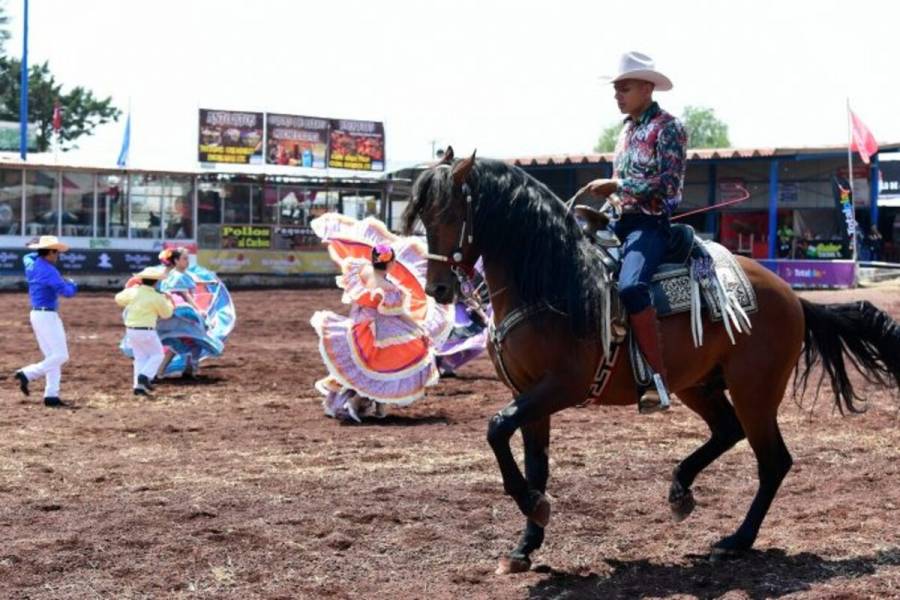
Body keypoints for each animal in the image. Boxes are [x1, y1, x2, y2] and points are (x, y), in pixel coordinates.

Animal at [406, 149, 900, 572]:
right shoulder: (526, 392)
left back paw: (736, 540)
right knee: (728, 431)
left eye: (451, 214)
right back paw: (681, 491)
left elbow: (496, 429)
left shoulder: (560, 386)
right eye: (424, 216)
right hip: (696, 384)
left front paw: (534, 508)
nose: (438, 289)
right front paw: (526, 543)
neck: (557, 286)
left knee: (773, 460)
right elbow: (533, 463)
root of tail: (793, 297)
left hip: (755, 391)